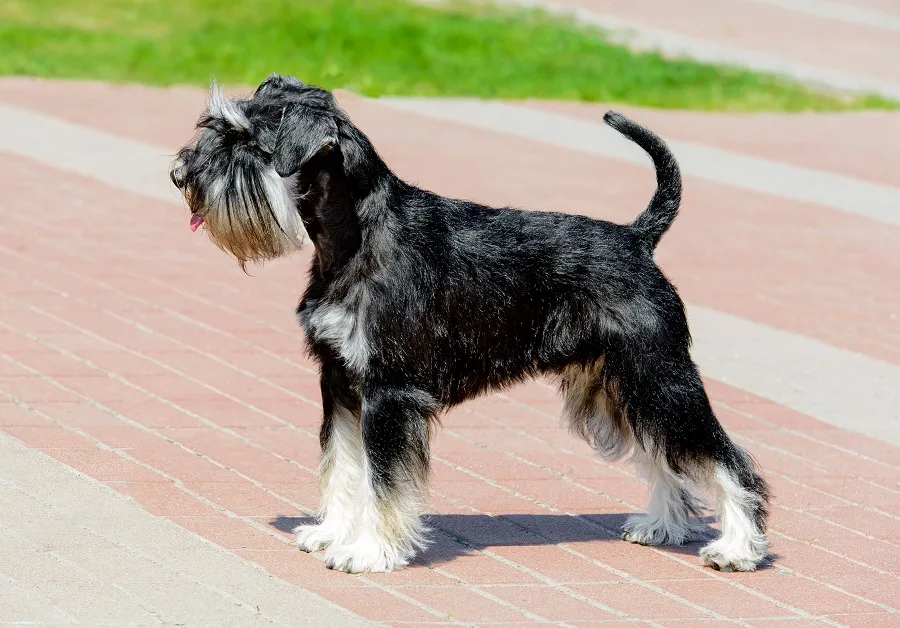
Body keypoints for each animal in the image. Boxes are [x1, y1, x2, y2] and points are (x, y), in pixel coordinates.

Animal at [172, 73, 768, 576]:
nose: (180, 175)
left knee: (724, 457)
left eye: (248, 141)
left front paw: (368, 551)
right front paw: (332, 532)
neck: (354, 240)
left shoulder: (389, 392)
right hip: (617, 386)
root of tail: (638, 237)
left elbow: (380, 479)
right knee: (663, 452)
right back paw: (664, 525)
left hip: (658, 376)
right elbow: (340, 464)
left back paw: (737, 547)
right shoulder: (339, 381)